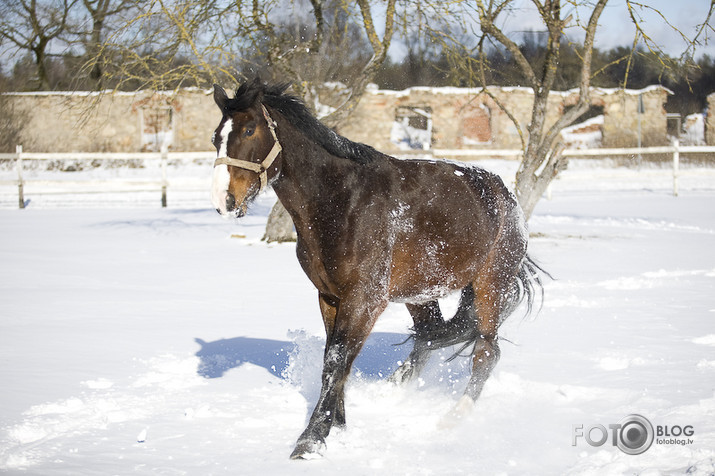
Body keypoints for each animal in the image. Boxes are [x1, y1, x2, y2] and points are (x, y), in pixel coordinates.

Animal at [210, 79, 544, 462]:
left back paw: (451, 420)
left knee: (486, 353)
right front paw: (338, 424)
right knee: (429, 337)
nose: (223, 201)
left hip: (491, 284)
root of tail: (506, 195)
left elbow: (337, 360)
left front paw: (312, 439)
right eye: (216, 137)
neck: (341, 201)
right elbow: (334, 358)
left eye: (250, 130)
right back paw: (394, 391)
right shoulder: (330, 296)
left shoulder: (364, 300)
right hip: (420, 292)